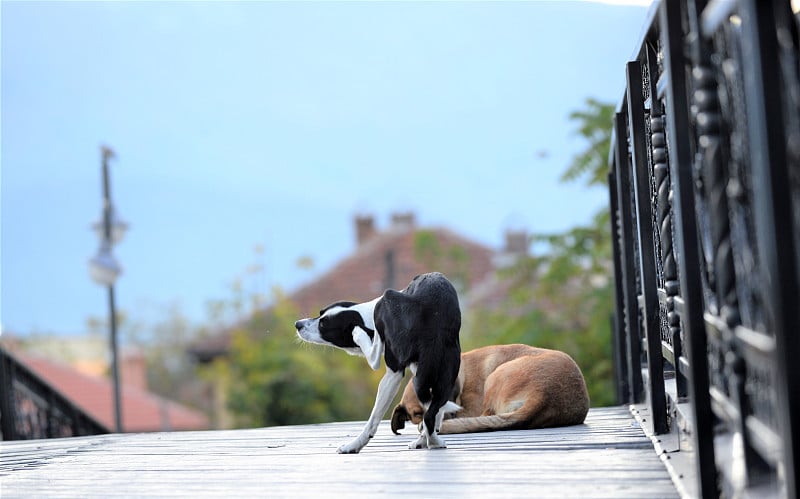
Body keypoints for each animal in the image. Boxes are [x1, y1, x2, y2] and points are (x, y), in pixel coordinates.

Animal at [296, 272, 462, 456]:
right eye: (320, 314)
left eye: (323, 325)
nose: (297, 324)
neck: (367, 316)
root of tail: (434, 327)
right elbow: (436, 414)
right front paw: (425, 438)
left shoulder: (394, 373)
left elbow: (374, 418)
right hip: (444, 376)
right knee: (431, 414)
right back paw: (433, 441)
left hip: (388, 300)